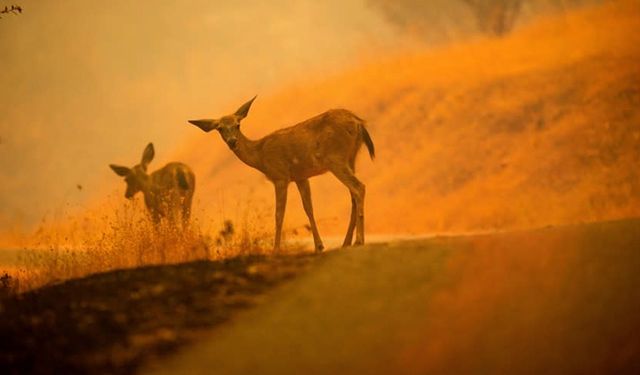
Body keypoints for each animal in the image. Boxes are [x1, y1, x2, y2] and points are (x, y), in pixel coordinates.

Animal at [188, 96, 372, 253]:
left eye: (237, 124)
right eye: (220, 128)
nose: (233, 141)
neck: (260, 155)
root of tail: (358, 122)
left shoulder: (280, 176)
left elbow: (278, 214)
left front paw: (275, 249)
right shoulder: (300, 177)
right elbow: (308, 209)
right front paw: (319, 246)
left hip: (335, 158)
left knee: (358, 187)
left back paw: (359, 240)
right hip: (351, 158)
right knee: (353, 195)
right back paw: (346, 242)